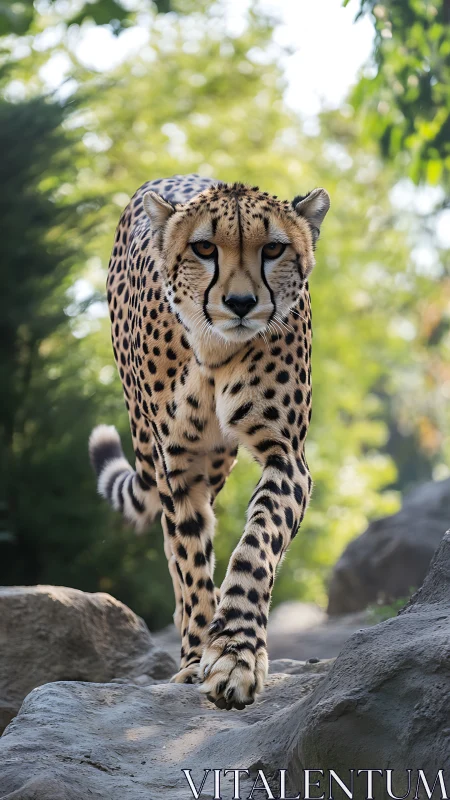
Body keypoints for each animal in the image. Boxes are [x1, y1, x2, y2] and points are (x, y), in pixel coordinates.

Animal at [89, 173, 330, 710]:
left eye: (273, 249)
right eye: (203, 248)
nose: (240, 304)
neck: (215, 350)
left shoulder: (287, 456)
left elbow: (257, 545)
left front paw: (235, 654)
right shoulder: (178, 462)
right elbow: (190, 561)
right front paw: (201, 654)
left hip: (219, 460)